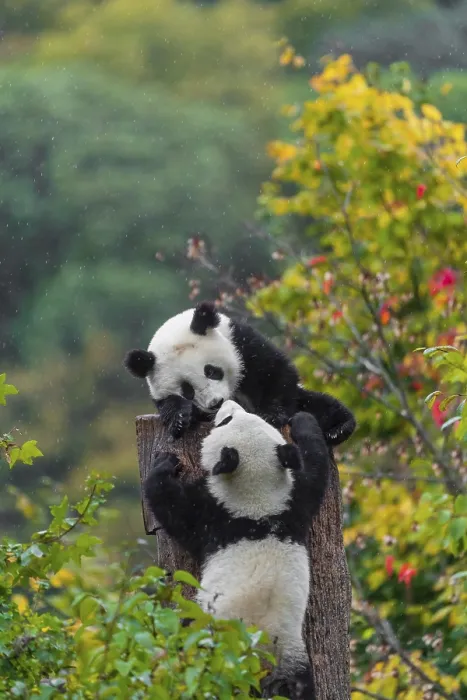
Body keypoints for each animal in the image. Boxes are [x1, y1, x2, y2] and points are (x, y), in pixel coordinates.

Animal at [124, 300, 356, 444]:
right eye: (187, 390)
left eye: (212, 371)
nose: (216, 402)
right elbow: (169, 405)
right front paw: (180, 418)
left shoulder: (241, 342)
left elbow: (277, 372)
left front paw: (271, 414)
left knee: (316, 405)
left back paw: (338, 428)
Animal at [143, 399, 329, 700]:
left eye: (225, 421)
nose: (225, 403)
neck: (258, 503)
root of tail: (259, 661)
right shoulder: (294, 505)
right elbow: (315, 467)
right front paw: (304, 421)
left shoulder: (214, 516)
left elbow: (171, 506)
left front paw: (165, 464)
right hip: (295, 660)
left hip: (206, 637)